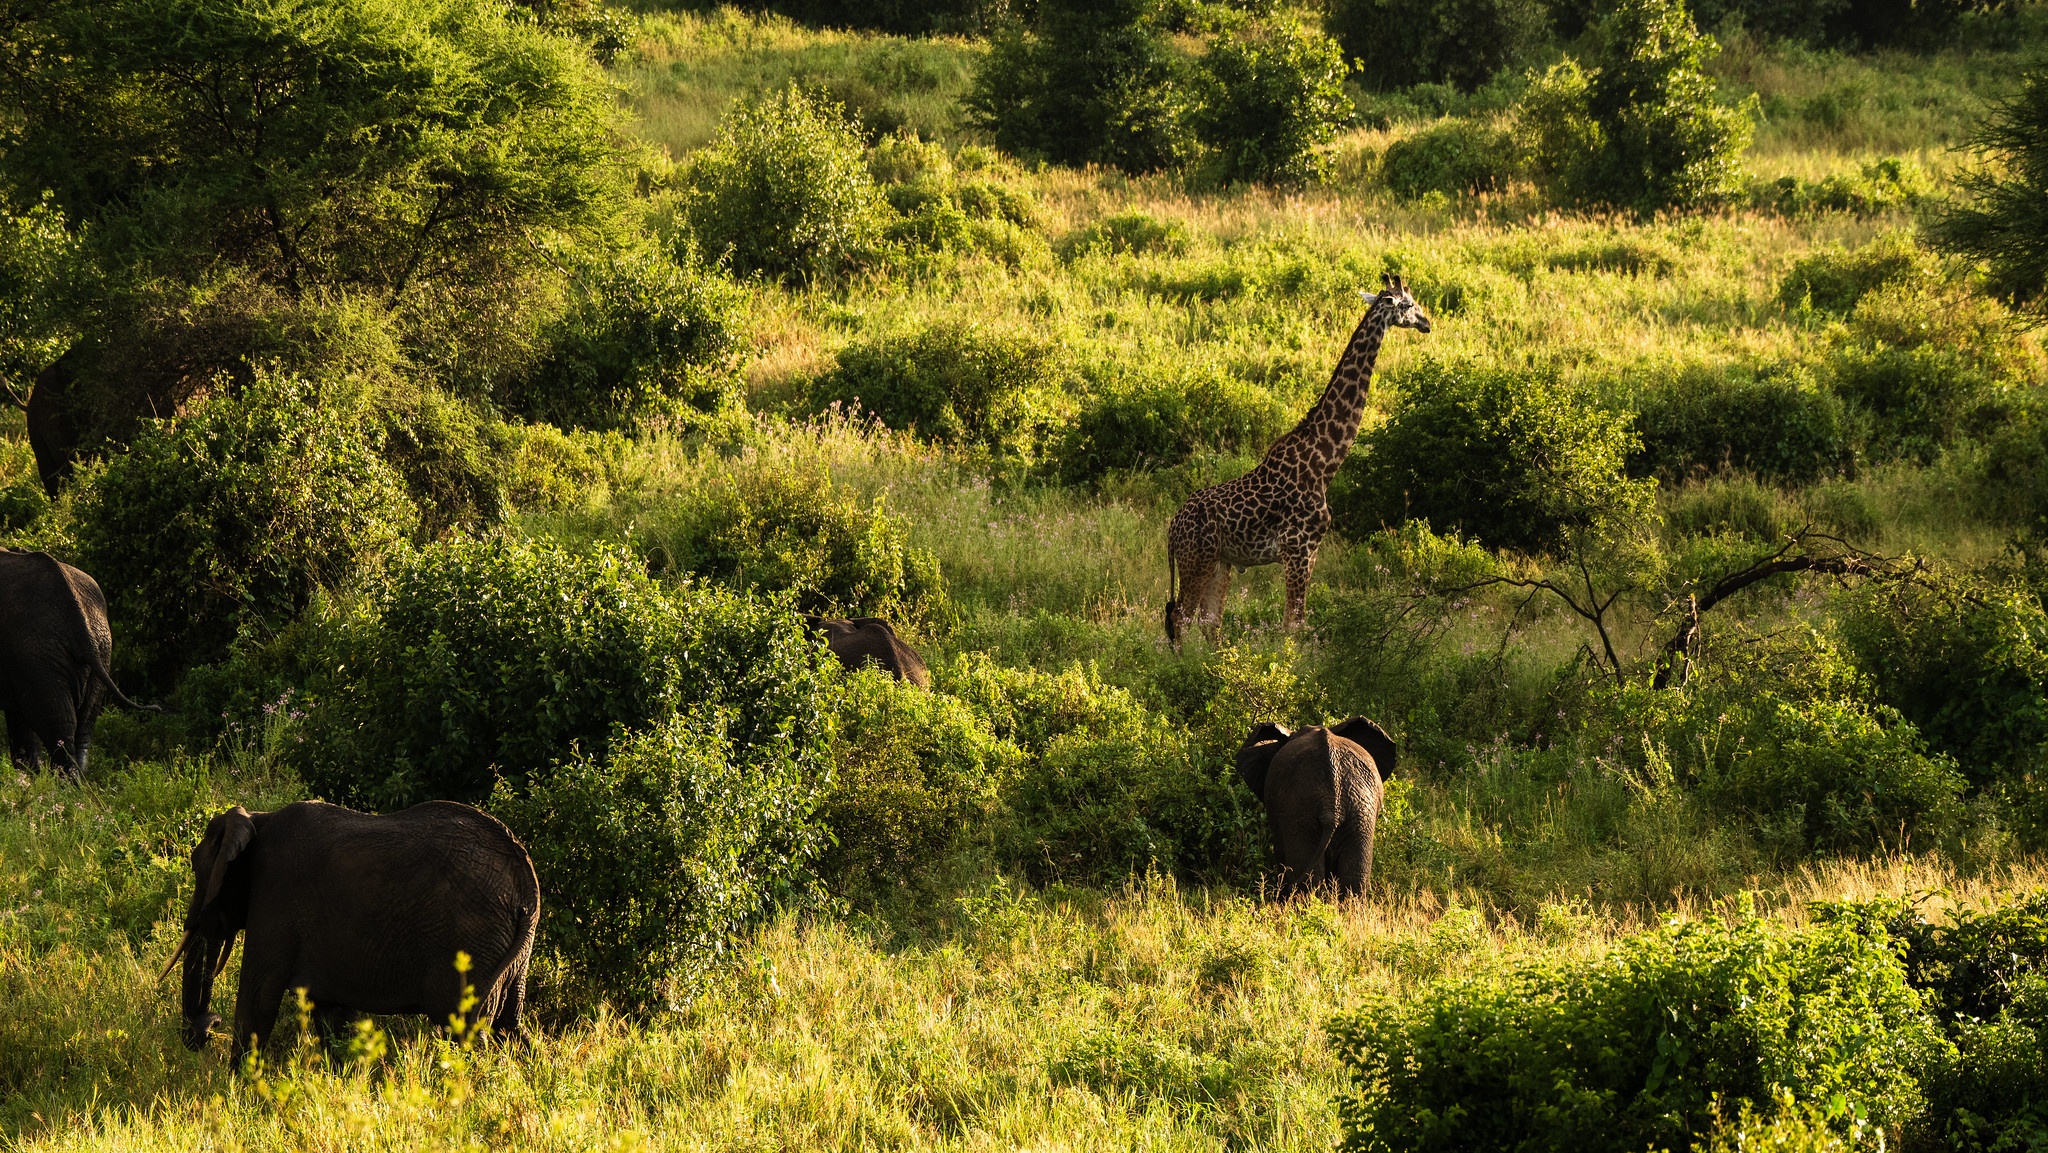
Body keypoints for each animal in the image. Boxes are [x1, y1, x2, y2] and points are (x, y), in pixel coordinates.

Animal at [169, 802, 536, 1064]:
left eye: (198, 868)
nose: (207, 1028)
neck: (258, 819)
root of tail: (527, 890)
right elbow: (331, 1013)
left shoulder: (276, 893)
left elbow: (258, 997)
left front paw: (237, 1091)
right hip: (509, 953)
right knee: (511, 1027)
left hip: (471, 942)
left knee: (465, 1029)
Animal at [1163, 274, 1433, 647]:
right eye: (1408, 303)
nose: (1427, 323)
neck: (1325, 461)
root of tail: (1172, 528)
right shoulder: (1298, 549)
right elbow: (1294, 625)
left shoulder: (1311, 551)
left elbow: (1294, 623)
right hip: (1197, 560)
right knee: (1181, 617)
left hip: (1220, 562)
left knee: (1208, 621)